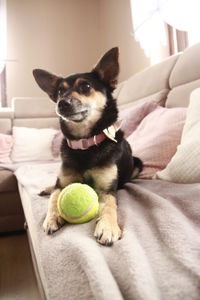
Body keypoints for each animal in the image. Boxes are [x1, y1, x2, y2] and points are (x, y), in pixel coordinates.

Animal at [32, 48, 142, 246]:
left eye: (85, 87)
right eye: (59, 91)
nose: (62, 103)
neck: (85, 144)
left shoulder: (107, 190)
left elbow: (110, 206)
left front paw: (108, 227)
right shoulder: (63, 183)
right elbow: (54, 197)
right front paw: (51, 217)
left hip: (138, 164)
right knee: (53, 186)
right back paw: (46, 188)